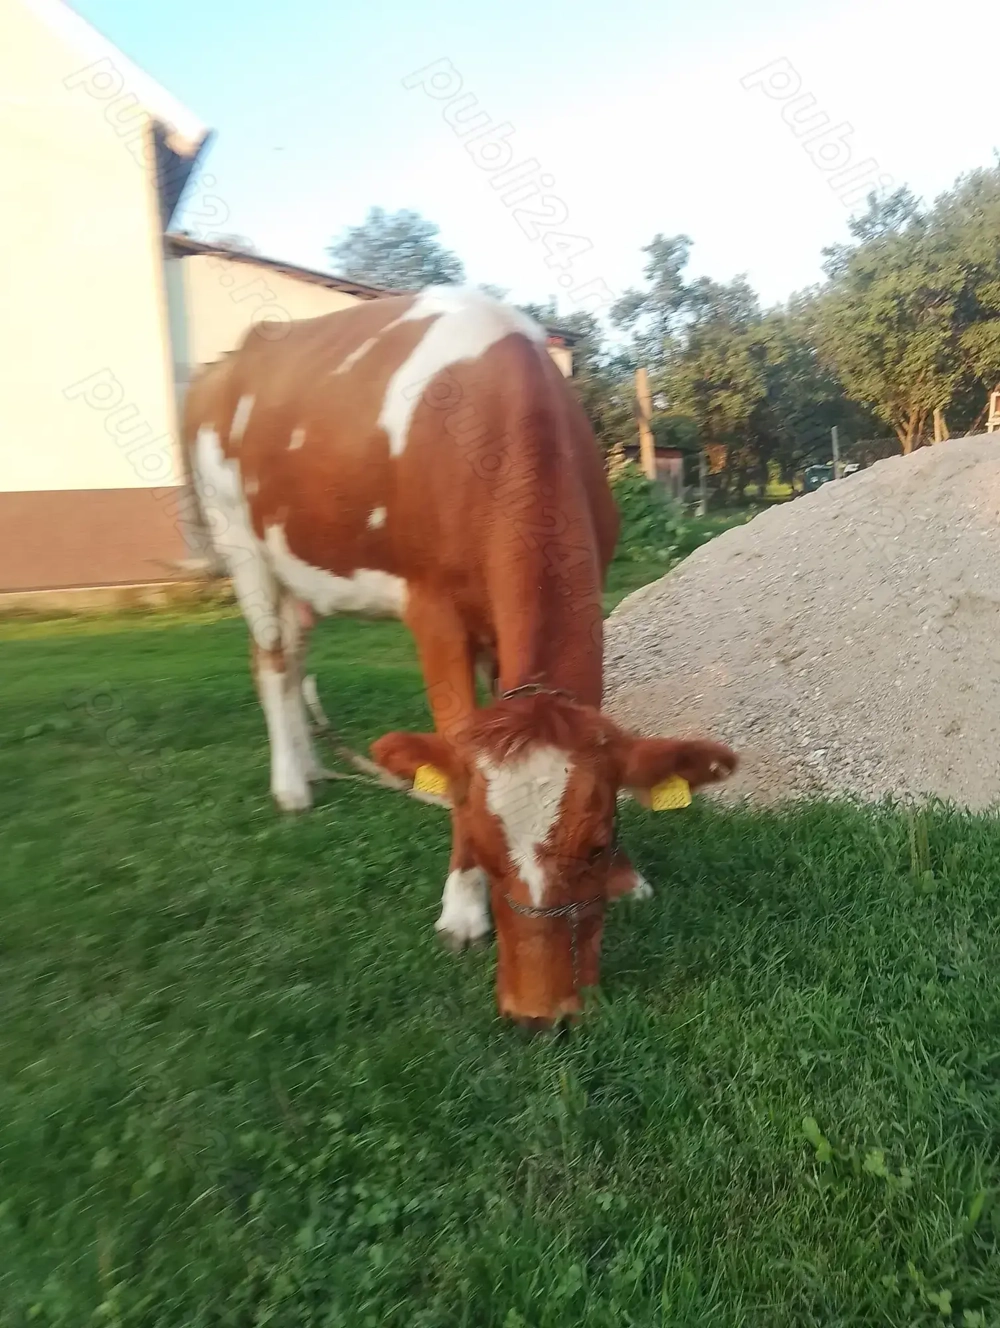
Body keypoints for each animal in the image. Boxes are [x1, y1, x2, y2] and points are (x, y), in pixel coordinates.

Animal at [182, 287, 737, 1029]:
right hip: (242, 545)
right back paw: (292, 788)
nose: (540, 1013)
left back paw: (313, 768)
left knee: (293, 655)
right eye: (478, 844)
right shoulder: (433, 610)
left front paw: (628, 875)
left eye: (595, 844)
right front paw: (461, 909)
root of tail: (232, 358)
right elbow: (451, 740)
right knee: (270, 657)